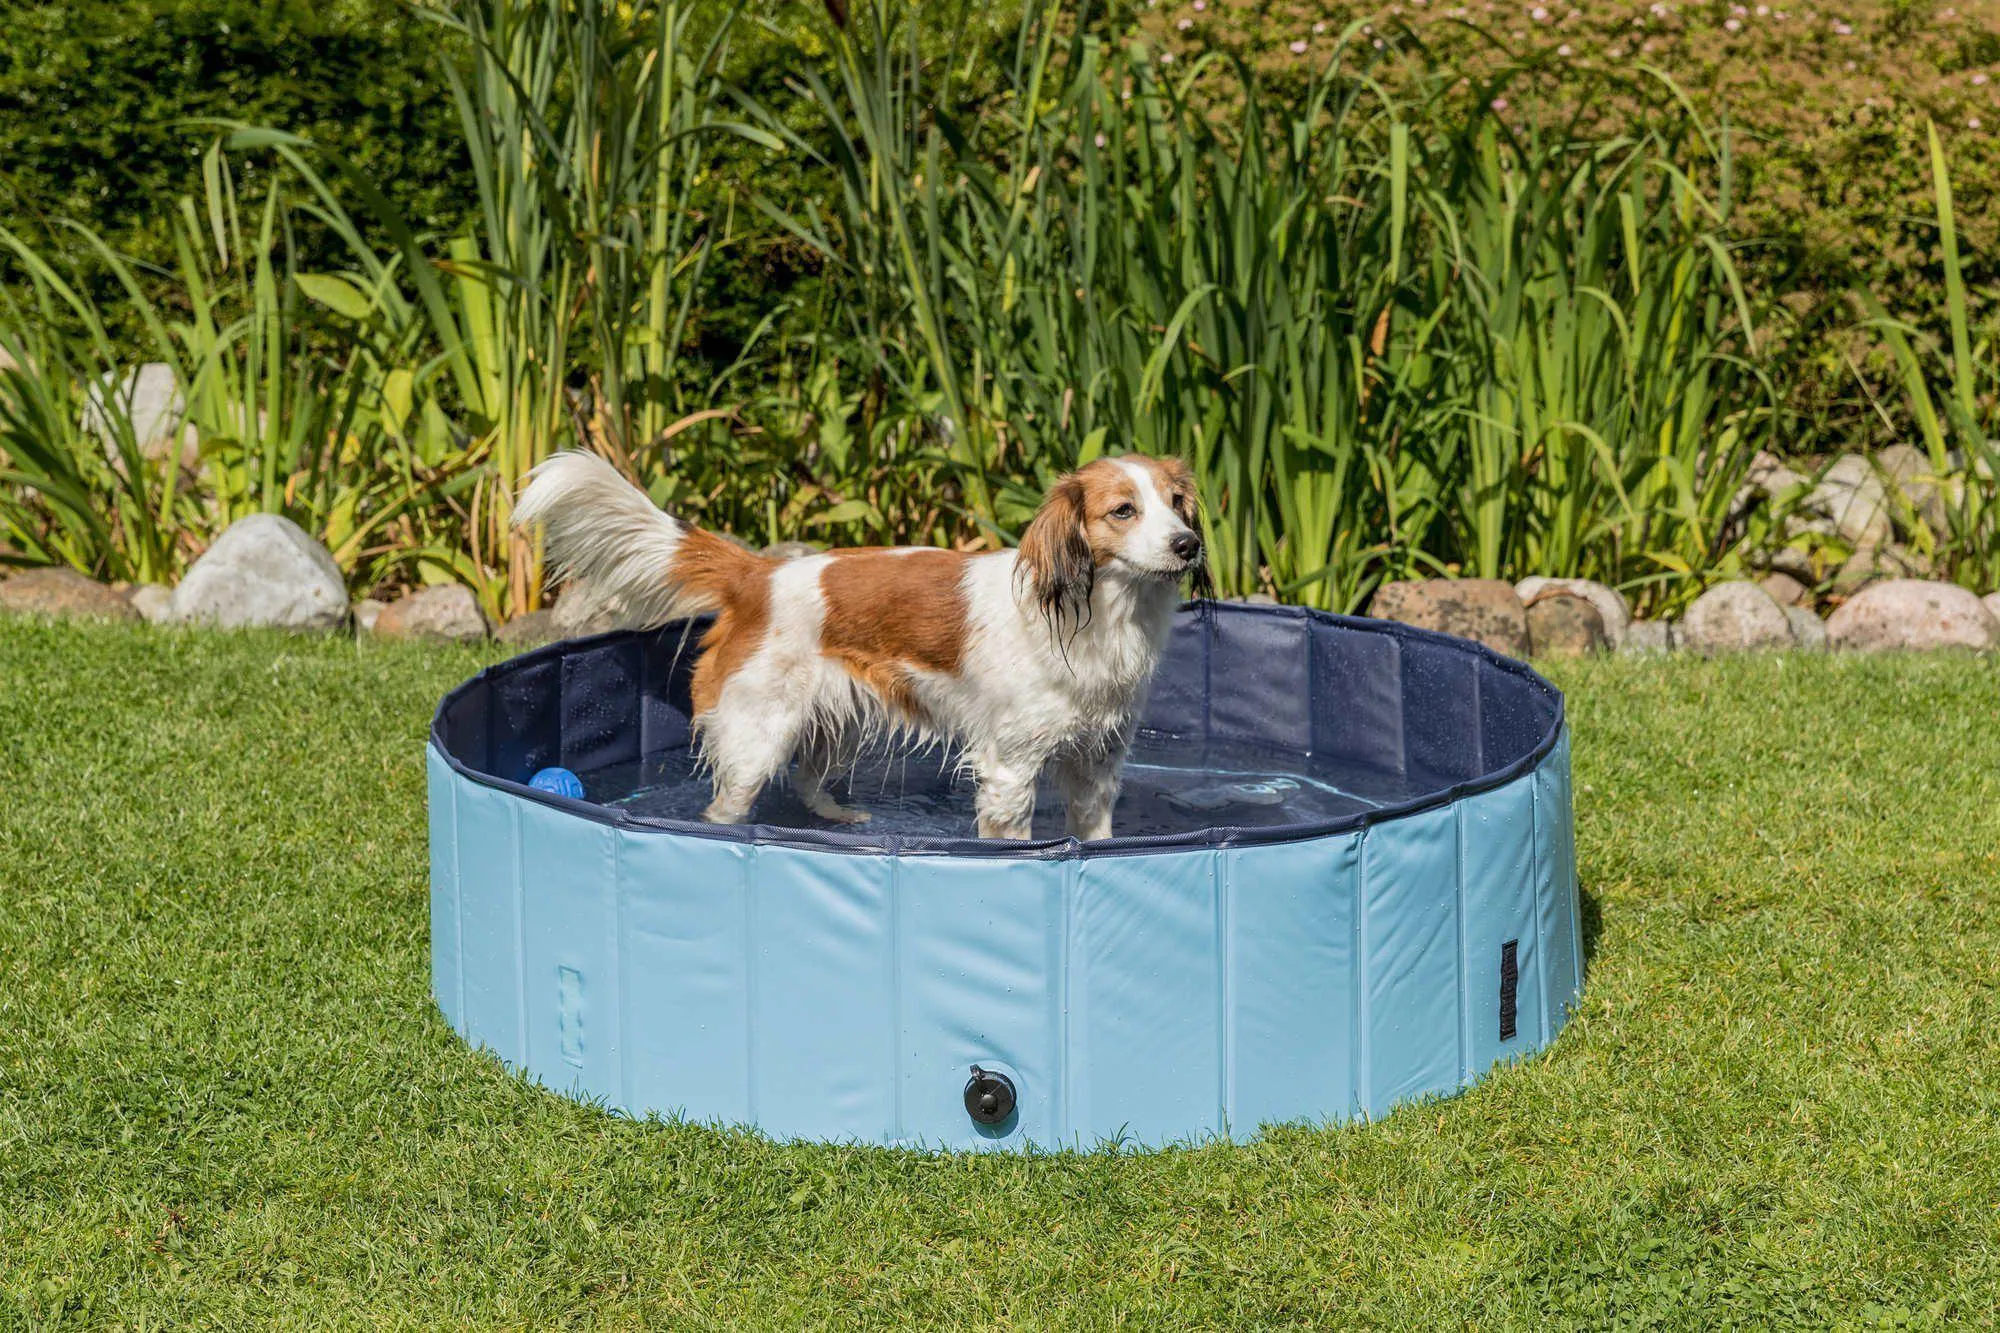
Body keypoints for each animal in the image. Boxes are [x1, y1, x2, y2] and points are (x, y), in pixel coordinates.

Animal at [512, 452, 1200, 836]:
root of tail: (759, 574)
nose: (1189, 544)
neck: (1099, 619)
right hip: (757, 736)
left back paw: (839, 820)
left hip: (833, 723)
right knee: (724, 810)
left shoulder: (1098, 764)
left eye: (1176, 504)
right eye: (1123, 511)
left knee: (806, 779)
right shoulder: (1010, 767)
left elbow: (1097, 838)